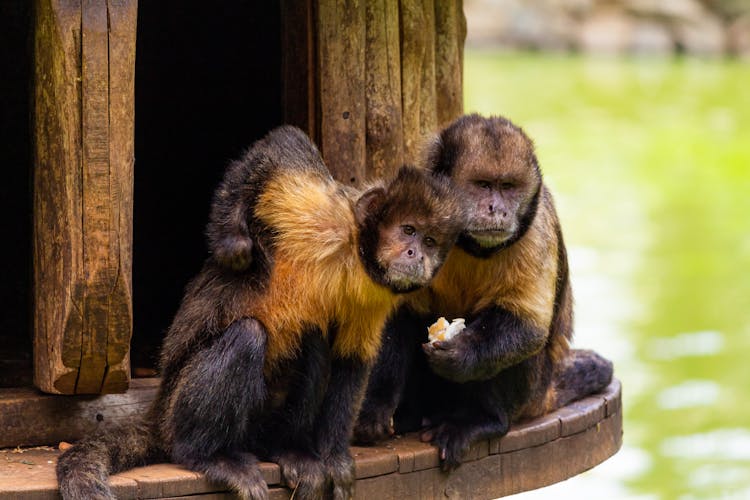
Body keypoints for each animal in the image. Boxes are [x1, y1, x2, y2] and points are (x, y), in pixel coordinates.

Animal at [58, 126, 468, 500]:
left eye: (430, 241)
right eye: (408, 230)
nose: (417, 254)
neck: (352, 256)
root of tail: (158, 413)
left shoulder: (375, 292)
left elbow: (351, 361)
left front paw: (334, 457)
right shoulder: (326, 215)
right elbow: (283, 145)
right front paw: (233, 242)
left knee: (313, 339)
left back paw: (288, 449)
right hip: (177, 408)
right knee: (248, 336)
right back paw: (206, 455)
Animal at [356, 115, 612, 470]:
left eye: (507, 187)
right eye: (482, 185)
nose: (496, 209)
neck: (469, 244)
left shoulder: (536, 229)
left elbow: (526, 326)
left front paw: (460, 354)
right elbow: (395, 311)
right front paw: (377, 406)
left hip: (531, 393)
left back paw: (481, 420)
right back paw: (412, 416)